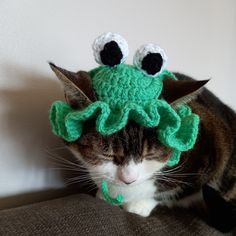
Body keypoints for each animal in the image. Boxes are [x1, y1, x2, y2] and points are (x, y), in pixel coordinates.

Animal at [49, 64, 234, 232]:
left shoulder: (211, 152)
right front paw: (105, 192)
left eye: (150, 154)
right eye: (107, 154)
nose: (128, 180)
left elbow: (175, 188)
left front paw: (139, 204)